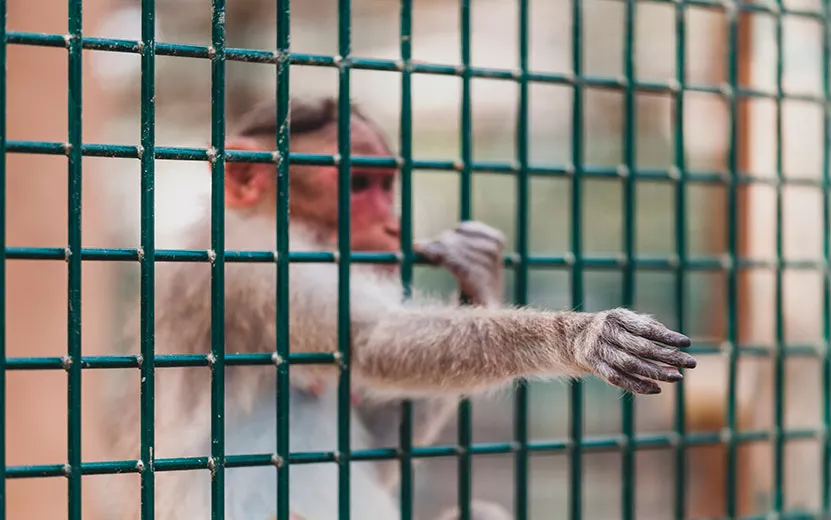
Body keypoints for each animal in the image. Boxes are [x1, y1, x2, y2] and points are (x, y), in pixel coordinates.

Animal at [96, 96, 696, 520]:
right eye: (358, 185)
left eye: (386, 185)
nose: (393, 225)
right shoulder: (258, 267)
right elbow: (373, 341)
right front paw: (578, 335)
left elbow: (382, 449)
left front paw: (478, 276)